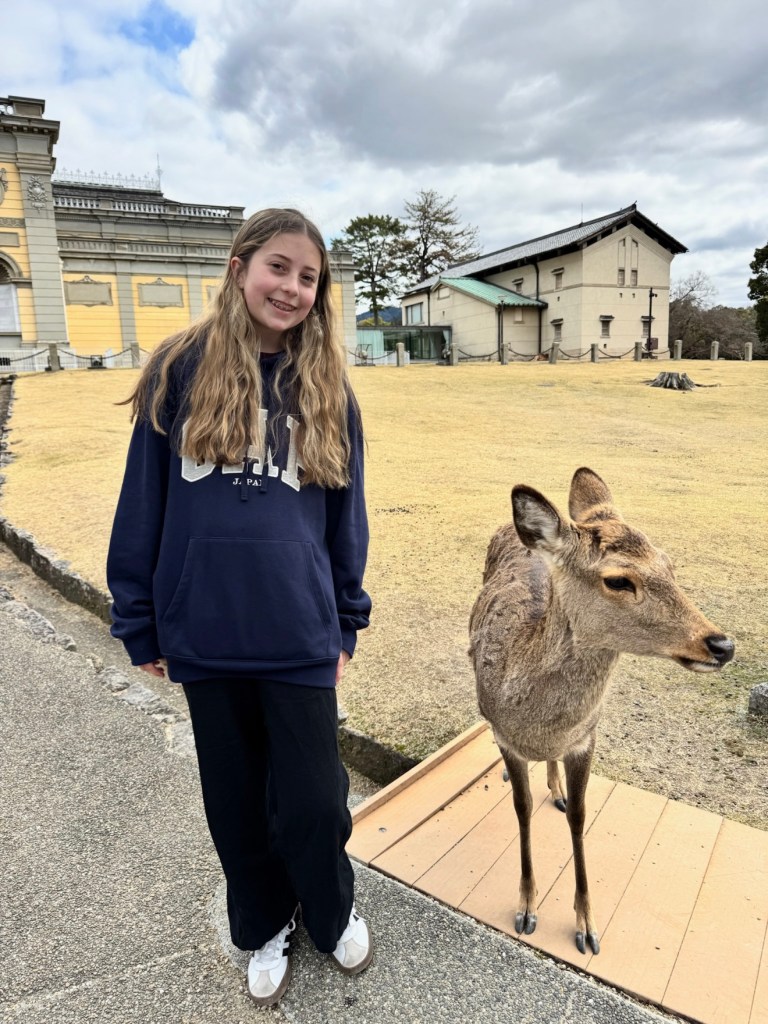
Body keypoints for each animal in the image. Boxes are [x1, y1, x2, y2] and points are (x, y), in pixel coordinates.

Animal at [469, 468, 734, 956]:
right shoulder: (504, 736)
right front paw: (526, 909)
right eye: (618, 580)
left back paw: (556, 787)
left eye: (670, 564)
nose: (722, 645)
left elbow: (579, 815)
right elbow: (521, 808)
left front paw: (587, 926)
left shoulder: (586, 737)